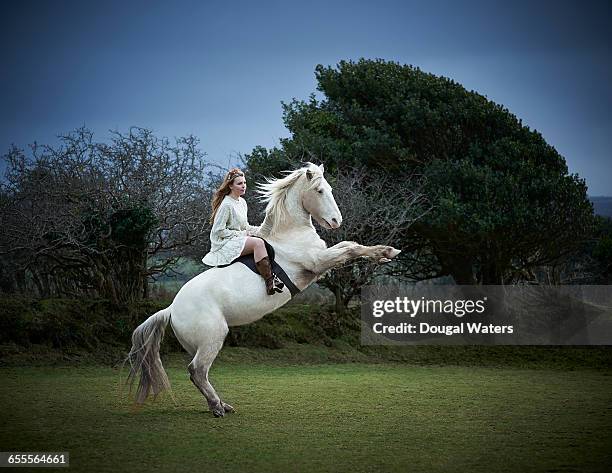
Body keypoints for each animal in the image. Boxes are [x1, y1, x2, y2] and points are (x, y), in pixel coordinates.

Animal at [126, 163, 402, 416]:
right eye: (320, 191)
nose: (336, 221)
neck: (290, 234)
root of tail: (171, 308)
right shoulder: (317, 262)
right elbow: (350, 248)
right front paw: (387, 252)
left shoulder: (321, 260)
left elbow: (349, 245)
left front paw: (385, 253)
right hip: (213, 337)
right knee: (197, 372)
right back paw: (217, 407)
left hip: (199, 344)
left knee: (199, 373)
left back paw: (222, 404)